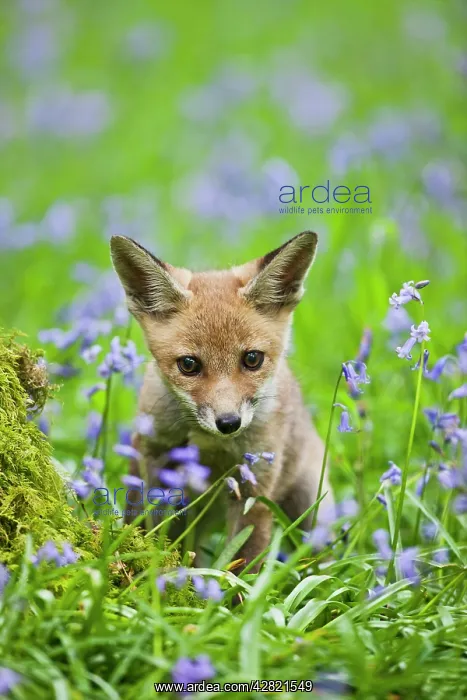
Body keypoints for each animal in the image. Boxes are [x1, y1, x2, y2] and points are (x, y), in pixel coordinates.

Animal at [110, 230, 333, 569]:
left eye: (252, 359)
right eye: (189, 365)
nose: (228, 423)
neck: (210, 446)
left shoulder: (254, 485)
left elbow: (243, 561)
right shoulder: (152, 454)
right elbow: (143, 527)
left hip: (310, 507)